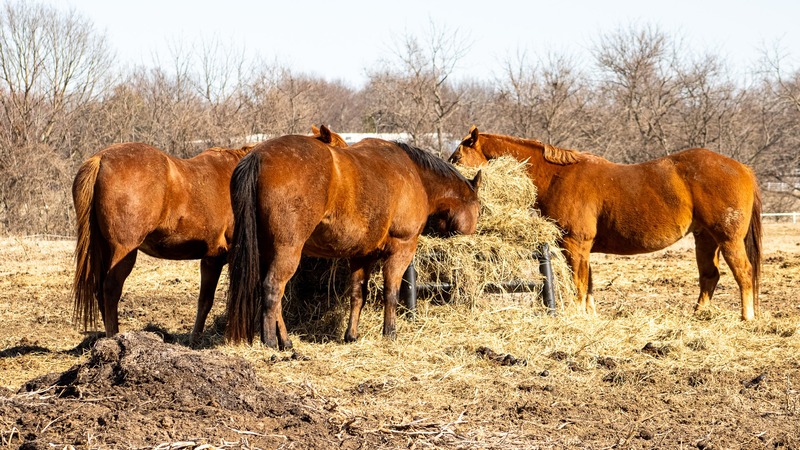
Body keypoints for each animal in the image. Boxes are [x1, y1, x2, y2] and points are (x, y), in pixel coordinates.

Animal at [72, 126, 348, 344]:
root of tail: (101, 158)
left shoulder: (212, 259)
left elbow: (204, 301)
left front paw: (195, 339)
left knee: (99, 290)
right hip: (123, 252)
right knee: (110, 291)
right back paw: (114, 337)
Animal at [225, 135, 482, 349]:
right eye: (478, 208)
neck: (414, 174)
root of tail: (258, 155)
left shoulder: (361, 256)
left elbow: (358, 295)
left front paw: (351, 335)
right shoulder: (402, 248)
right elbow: (391, 293)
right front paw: (390, 332)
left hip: (267, 252)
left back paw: (285, 341)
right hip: (287, 251)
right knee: (273, 288)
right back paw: (272, 342)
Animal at [449, 126, 762, 321]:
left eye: (457, 156)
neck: (558, 176)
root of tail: (742, 168)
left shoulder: (575, 244)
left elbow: (578, 283)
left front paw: (578, 315)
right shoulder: (581, 248)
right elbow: (588, 284)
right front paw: (590, 315)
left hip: (728, 239)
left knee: (744, 273)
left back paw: (746, 316)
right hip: (705, 238)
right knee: (710, 276)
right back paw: (699, 315)